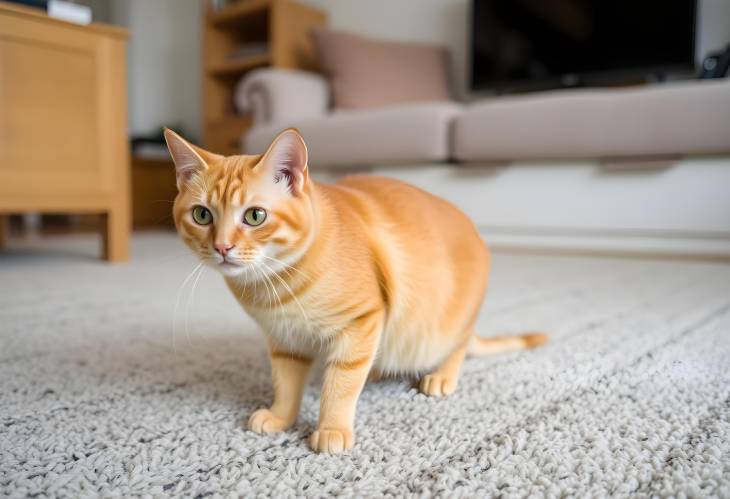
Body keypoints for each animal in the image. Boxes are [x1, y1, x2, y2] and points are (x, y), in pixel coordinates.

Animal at [162, 128, 544, 454]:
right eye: (202, 215)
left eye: (255, 216)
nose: (222, 247)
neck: (275, 286)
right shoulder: (284, 341)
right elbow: (285, 383)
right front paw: (280, 416)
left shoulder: (361, 321)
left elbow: (340, 386)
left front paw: (332, 429)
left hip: (444, 328)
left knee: (458, 347)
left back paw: (441, 376)